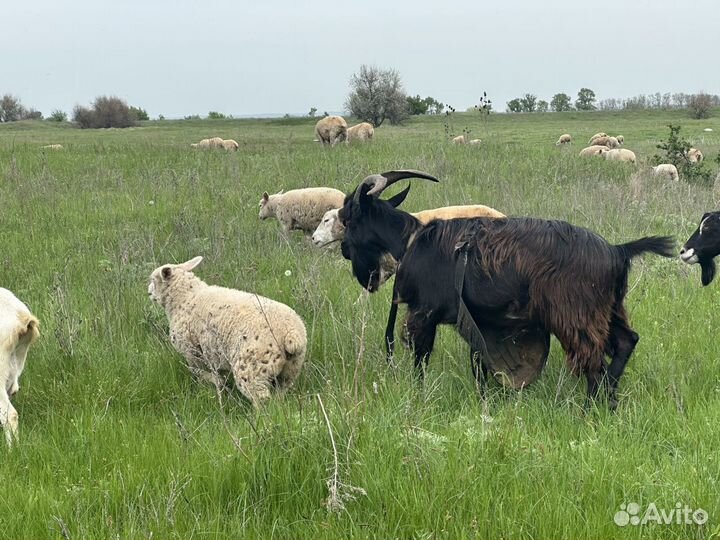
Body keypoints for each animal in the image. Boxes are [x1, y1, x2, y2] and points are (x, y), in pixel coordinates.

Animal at [149, 258, 306, 404]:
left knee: (261, 399)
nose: (149, 292)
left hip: (253, 367)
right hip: (290, 369)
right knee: (280, 393)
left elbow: (197, 372)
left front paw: (214, 382)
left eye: (153, 280)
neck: (185, 297)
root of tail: (291, 334)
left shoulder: (191, 351)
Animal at [340, 171, 676, 408]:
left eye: (348, 221)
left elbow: (421, 362)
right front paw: (483, 401)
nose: (343, 250)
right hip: (608, 310)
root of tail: (617, 250)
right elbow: (478, 367)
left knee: (593, 364)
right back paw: (611, 402)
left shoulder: (424, 314)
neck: (410, 238)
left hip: (577, 318)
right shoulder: (477, 322)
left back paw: (588, 413)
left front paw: (418, 396)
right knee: (625, 342)